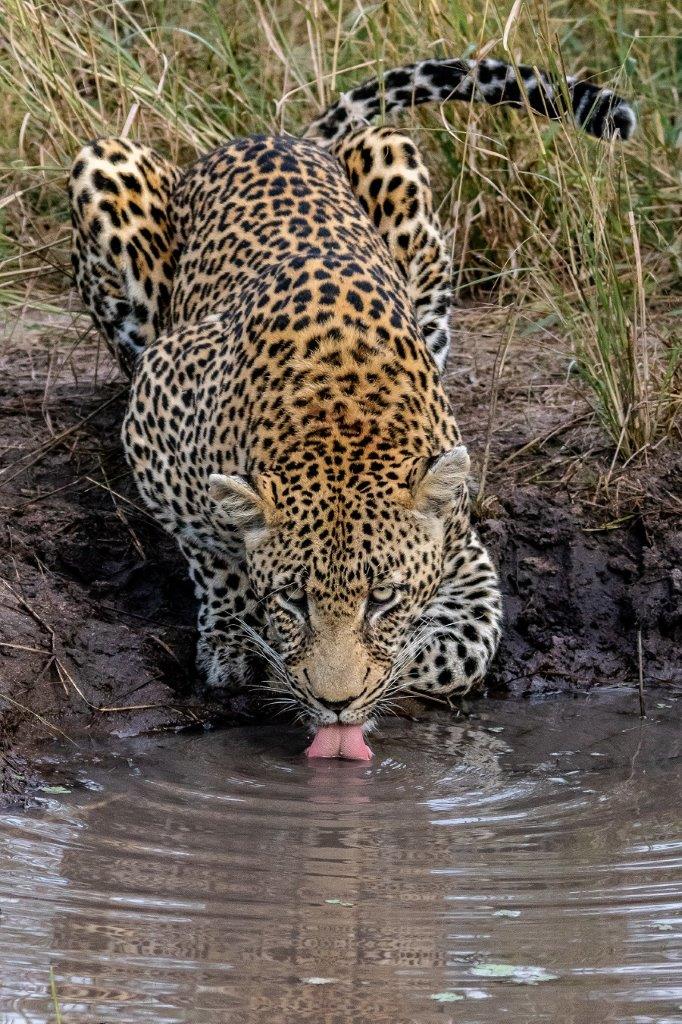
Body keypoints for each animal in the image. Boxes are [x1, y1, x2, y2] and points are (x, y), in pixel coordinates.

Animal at [69, 56, 636, 730]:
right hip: (107, 166)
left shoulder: (461, 547)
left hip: (396, 158)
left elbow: (461, 652)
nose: (335, 704)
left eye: (382, 598)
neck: (340, 410)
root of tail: (279, 137)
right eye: (293, 599)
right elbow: (213, 553)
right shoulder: (156, 401)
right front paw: (238, 639)